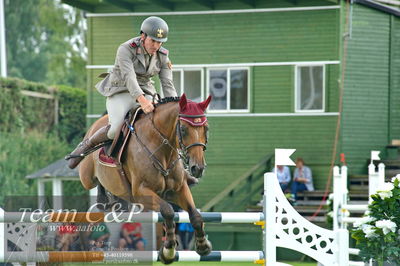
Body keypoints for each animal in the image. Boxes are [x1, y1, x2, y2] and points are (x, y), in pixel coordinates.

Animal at [76, 94, 211, 264]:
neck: (162, 149)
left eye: (206, 128)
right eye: (183, 129)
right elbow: (168, 211)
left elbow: (195, 215)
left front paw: (203, 245)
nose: (197, 168)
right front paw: (168, 251)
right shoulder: (141, 193)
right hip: (86, 176)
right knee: (93, 178)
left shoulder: (179, 190)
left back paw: (114, 201)